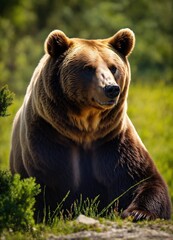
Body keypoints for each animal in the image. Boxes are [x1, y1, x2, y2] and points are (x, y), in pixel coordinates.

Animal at [10, 28, 171, 221]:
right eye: (88, 68)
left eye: (113, 67)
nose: (111, 88)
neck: (86, 127)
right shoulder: (47, 136)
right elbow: (46, 184)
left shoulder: (113, 142)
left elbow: (143, 179)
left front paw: (138, 212)